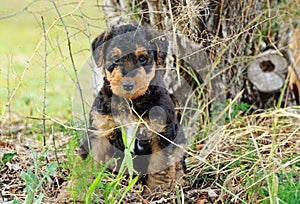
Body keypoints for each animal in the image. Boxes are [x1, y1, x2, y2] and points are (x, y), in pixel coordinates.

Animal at [79, 24, 186, 191]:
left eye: (142, 58)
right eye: (116, 59)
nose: (128, 85)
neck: (131, 102)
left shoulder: (160, 132)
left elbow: (160, 164)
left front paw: (158, 190)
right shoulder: (100, 129)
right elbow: (94, 160)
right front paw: (90, 184)